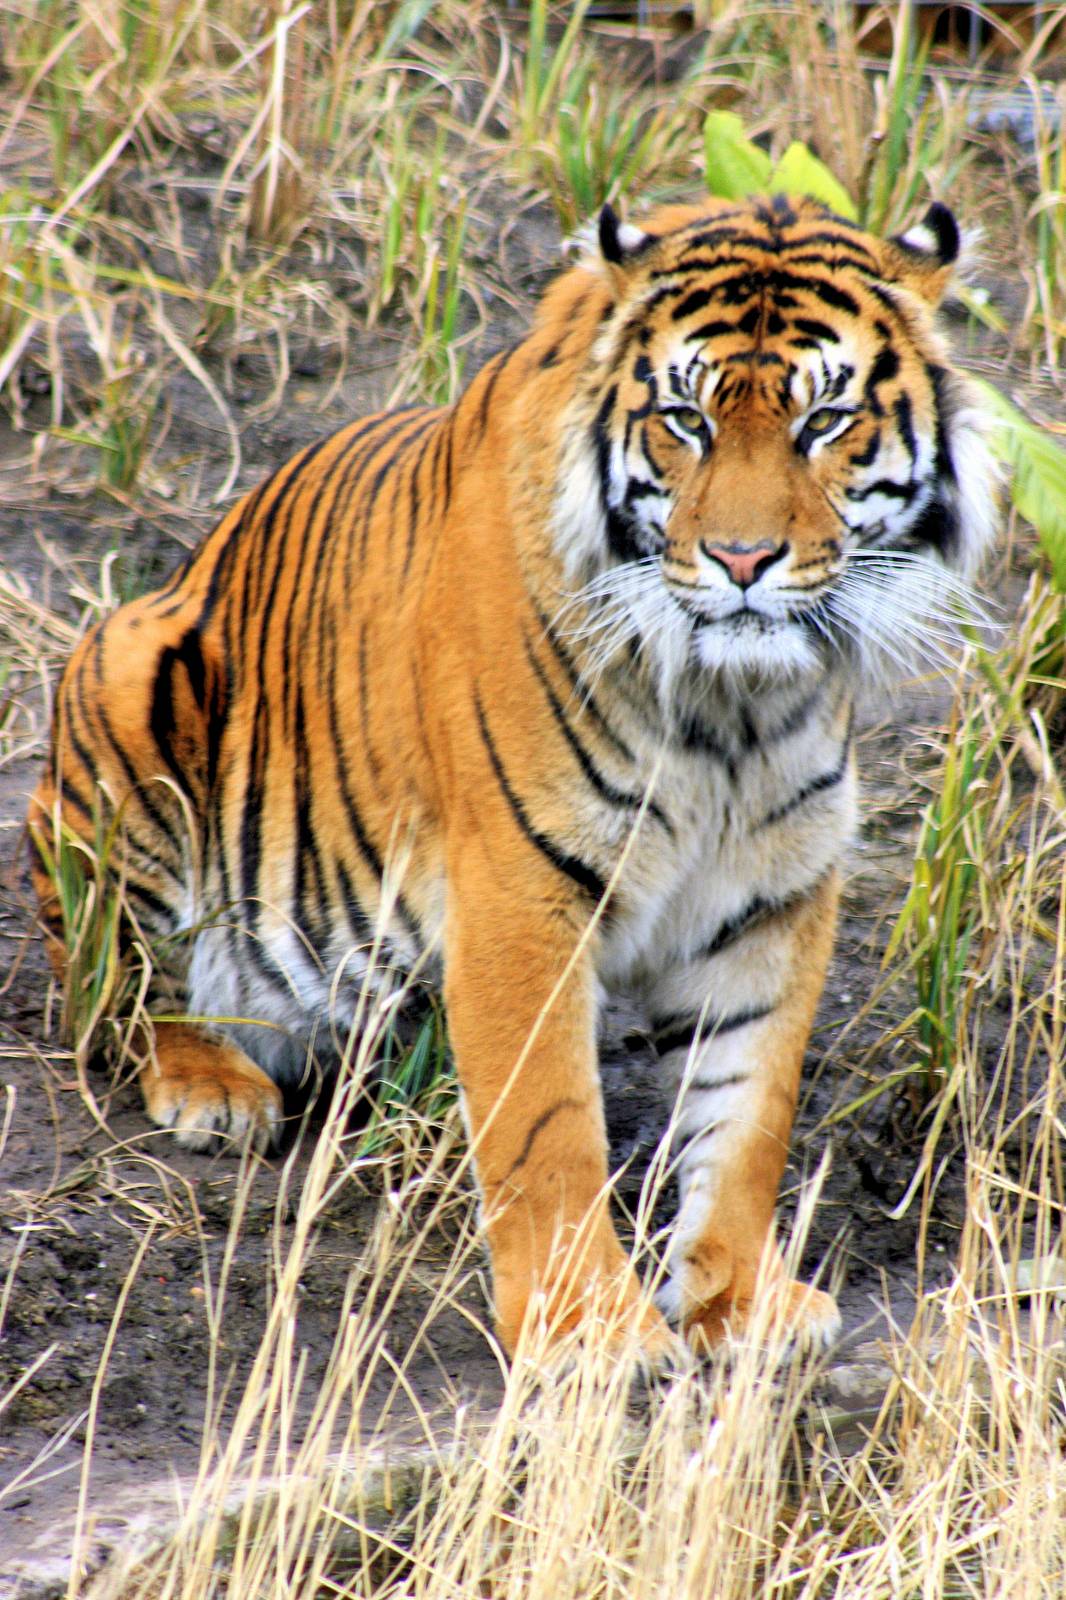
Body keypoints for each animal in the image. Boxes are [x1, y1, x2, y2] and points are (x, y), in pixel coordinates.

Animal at [28, 192, 998, 1363]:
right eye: (687, 420)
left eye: (824, 422)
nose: (742, 561)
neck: (725, 705)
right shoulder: (519, 890)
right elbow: (550, 1125)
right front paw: (592, 1329)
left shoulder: (776, 897)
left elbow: (747, 1112)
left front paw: (740, 1302)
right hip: (127, 672)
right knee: (116, 983)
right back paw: (214, 1085)